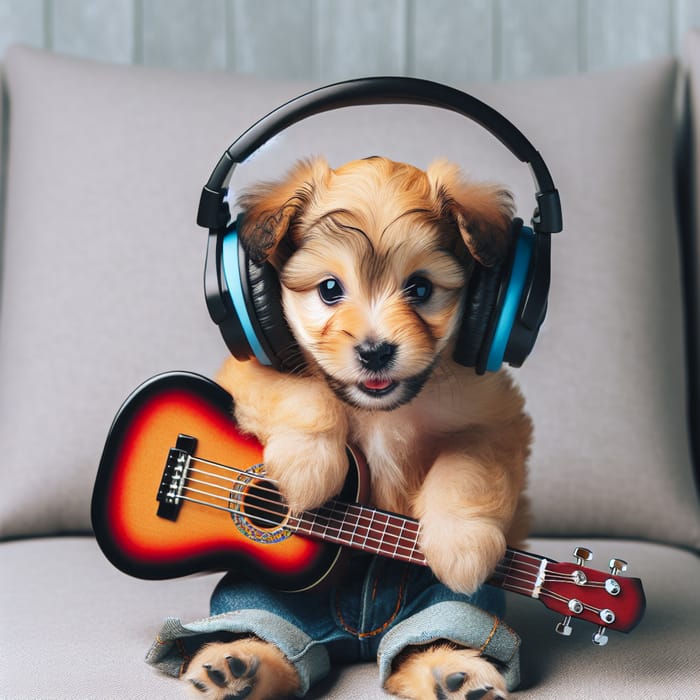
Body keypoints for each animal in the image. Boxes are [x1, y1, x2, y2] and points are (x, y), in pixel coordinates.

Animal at [180, 159, 532, 700]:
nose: (375, 351)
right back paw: (237, 666)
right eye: (330, 290)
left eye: (420, 289)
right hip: (260, 592)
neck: (379, 407)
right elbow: (303, 394)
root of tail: (359, 639)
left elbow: (468, 467)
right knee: (267, 624)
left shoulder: (494, 414)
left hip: (443, 605)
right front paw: (306, 469)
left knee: (438, 625)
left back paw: (453, 673)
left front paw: (461, 542)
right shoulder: (247, 375)